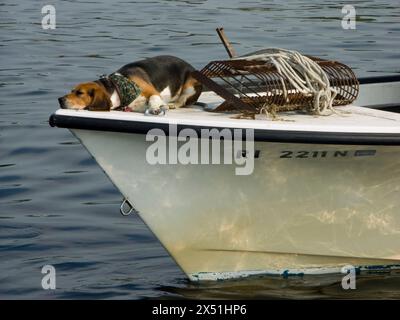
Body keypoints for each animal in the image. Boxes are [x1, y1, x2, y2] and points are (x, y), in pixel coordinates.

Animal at [57, 55, 202, 114]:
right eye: (71, 90)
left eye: (80, 93)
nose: (59, 99)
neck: (119, 88)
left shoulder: (153, 92)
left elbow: (154, 99)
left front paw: (155, 108)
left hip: (190, 84)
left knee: (182, 101)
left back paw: (173, 104)